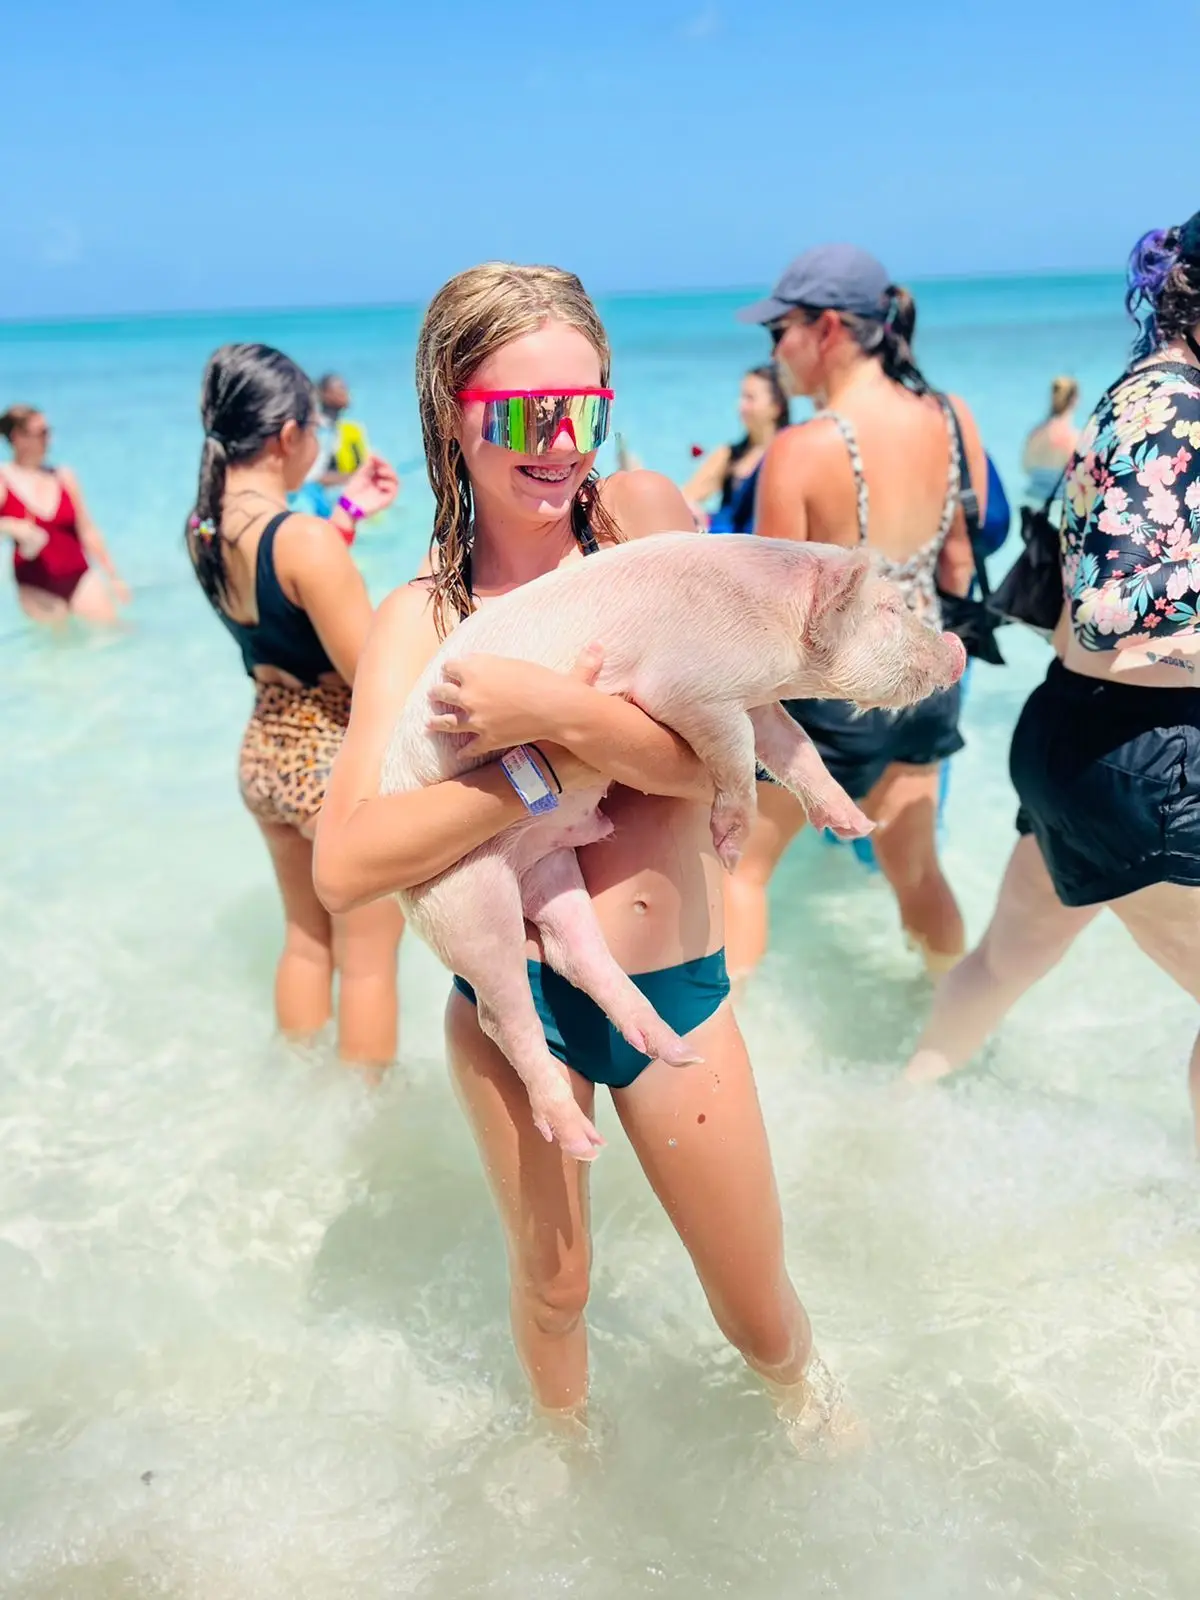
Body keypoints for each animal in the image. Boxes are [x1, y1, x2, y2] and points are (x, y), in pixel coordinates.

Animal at [380, 533, 966, 1161]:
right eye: (889, 610)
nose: (956, 647)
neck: (775, 627)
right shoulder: (689, 687)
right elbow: (739, 750)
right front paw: (730, 849)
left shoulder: (754, 697)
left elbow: (792, 743)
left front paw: (857, 825)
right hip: (462, 893)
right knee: (502, 1012)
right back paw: (584, 1142)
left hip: (550, 865)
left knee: (575, 953)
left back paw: (677, 1052)